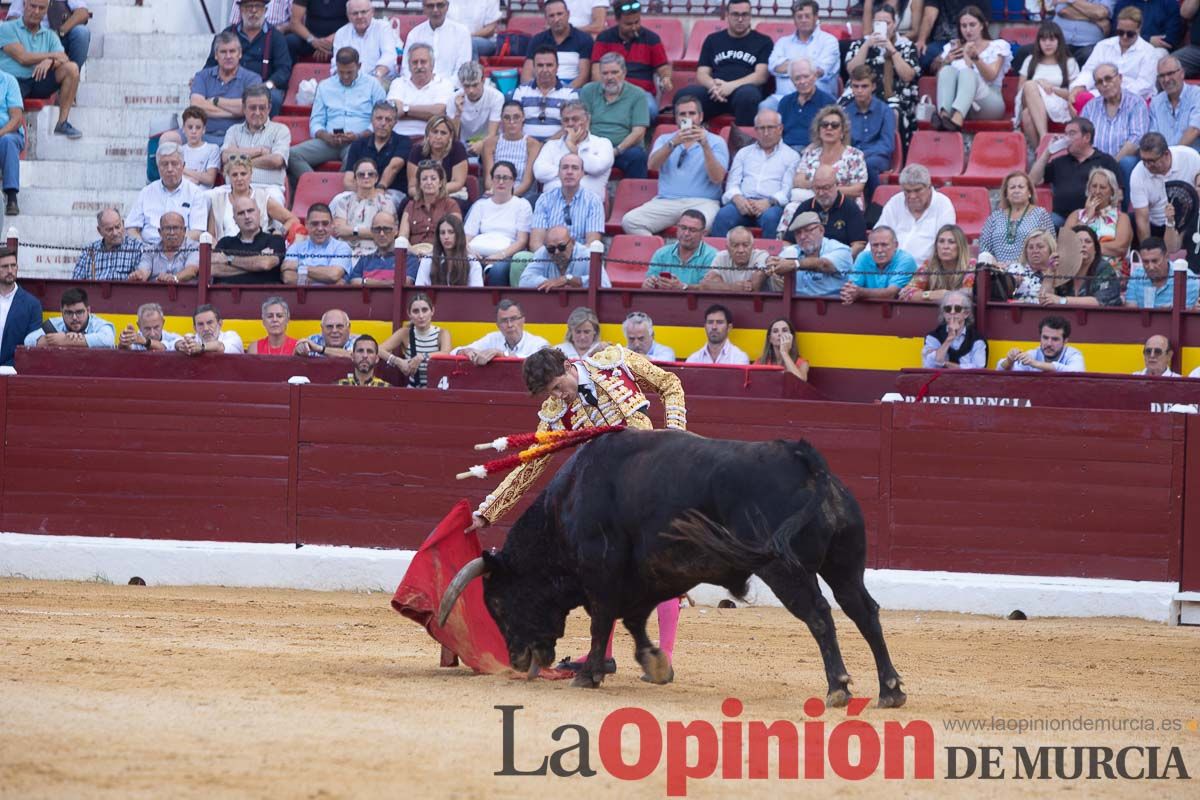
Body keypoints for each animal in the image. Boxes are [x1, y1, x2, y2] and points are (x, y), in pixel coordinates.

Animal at [446, 431, 902, 705]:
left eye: (498, 603)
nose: (517, 660)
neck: (566, 507)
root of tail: (807, 461)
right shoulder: (652, 575)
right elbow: (633, 620)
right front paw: (654, 663)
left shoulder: (601, 572)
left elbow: (601, 621)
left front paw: (589, 674)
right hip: (844, 565)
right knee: (864, 611)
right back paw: (890, 690)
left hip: (785, 570)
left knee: (820, 615)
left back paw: (838, 687)